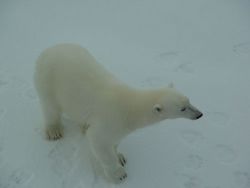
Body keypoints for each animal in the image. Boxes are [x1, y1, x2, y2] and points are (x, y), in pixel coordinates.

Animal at [34, 43, 203, 183]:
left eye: (189, 100)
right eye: (182, 108)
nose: (199, 114)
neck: (130, 108)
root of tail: (48, 50)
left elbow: (114, 141)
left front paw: (120, 157)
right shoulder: (110, 119)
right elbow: (100, 142)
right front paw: (119, 174)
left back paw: (83, 126)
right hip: (48, 80)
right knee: (50, 107)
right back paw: (54, 131)